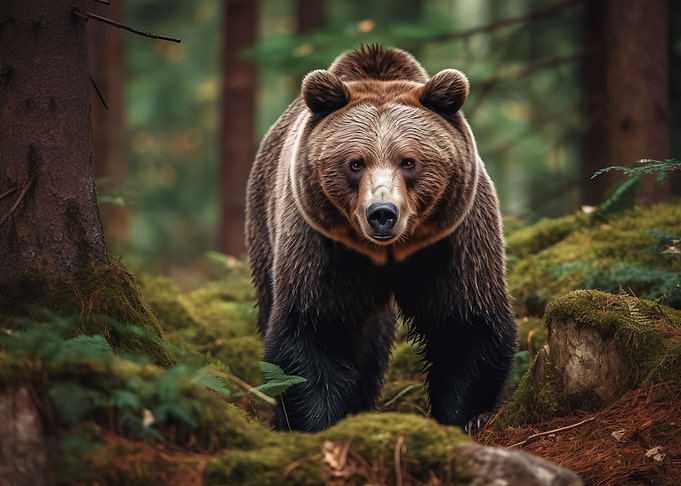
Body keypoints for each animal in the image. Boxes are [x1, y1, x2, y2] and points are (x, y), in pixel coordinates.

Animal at [245, 45, 516, 433]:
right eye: (355, 163)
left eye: (409, 161)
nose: (382, 213)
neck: (387, 252)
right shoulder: (320, 242)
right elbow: (315, 328)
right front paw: (316, 421)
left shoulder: (454, 234)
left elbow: (463, 320)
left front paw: (467, 416)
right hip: (265, 222)